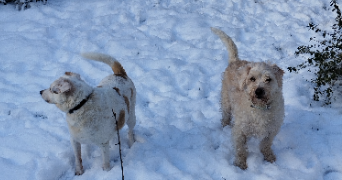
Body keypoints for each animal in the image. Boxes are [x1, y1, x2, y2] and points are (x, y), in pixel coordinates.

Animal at [212, 27, 284, 169]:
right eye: (252, 78)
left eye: (268, 79)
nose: (259, 91)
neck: (260, 109)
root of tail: (235, 61)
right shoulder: (240, 130)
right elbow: (240, 149)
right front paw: (240, 164)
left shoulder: (272, 129)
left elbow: (266, 144)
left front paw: (269, 156)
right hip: (226, 102)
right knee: (225, 116)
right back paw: (224, 126)